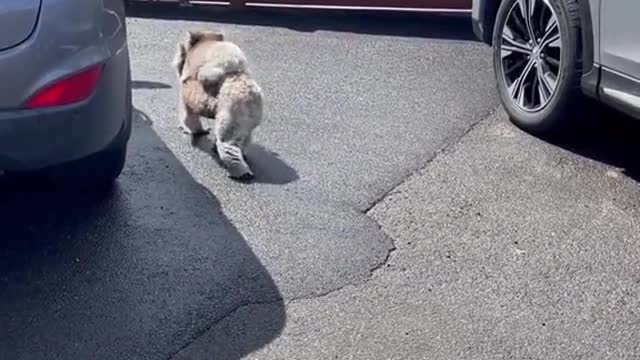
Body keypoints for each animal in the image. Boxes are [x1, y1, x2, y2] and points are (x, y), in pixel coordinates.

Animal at [171, 28, 264, 180]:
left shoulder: (187, 94)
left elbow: (189, 116)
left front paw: (191, 129)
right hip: (248, 122)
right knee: (244, 139)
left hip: (230, 115)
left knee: (228, 144)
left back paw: (240, 172)